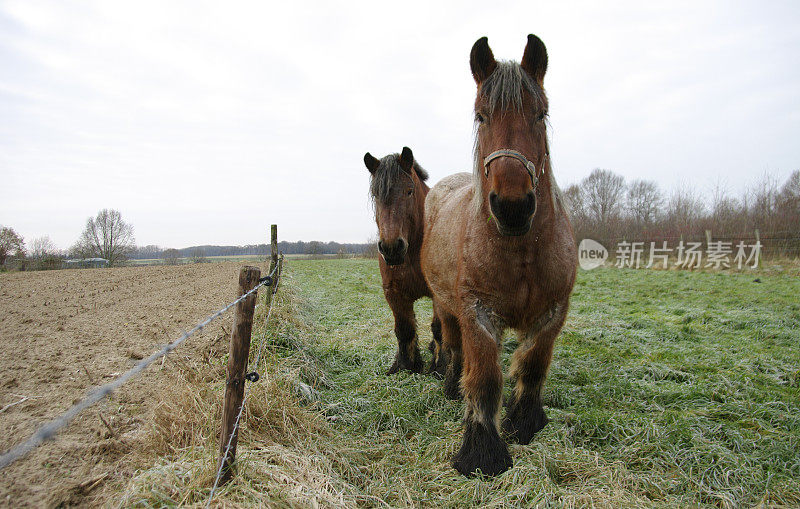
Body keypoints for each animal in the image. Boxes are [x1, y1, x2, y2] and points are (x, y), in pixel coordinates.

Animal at [366, 147, 446, 374]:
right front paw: (405, 366)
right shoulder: (394, 292)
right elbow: (404, 329)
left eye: (409, 191)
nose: (391, 247)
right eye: (375, 194)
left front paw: (439, 367)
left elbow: (439, 329)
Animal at [422, 36, 580, 476]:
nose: (512, 207)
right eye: (481, 116)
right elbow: (485, 377)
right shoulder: (477, 313)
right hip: (446, 305)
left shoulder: (553, 313)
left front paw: (524, 422)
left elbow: (533, 365)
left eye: (542, 113)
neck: (521, 250)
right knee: (452, 345)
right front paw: (482, 451)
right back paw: (451, 386)